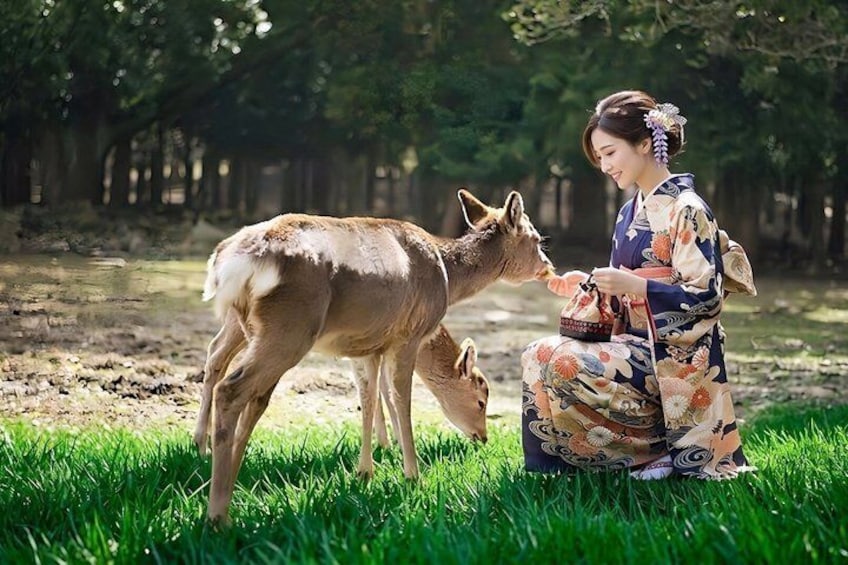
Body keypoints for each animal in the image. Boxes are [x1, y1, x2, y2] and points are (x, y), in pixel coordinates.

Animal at [193, 314, 490, 455]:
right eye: (481, 401)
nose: (484, 437)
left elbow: (380, 388)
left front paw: (388, 442)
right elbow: (380, 388)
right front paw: (390, 444)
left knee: (215, 349)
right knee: (216, 354)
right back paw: (200, 444)